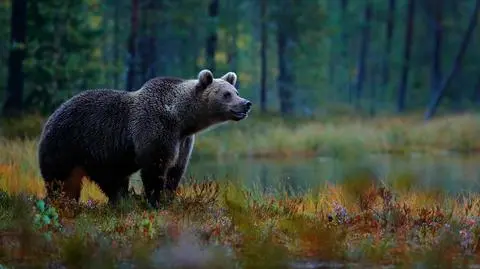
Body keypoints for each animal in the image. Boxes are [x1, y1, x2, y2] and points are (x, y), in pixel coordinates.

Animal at [37, 69, 251, 207]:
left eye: (236, 91)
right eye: (226, 94)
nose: (246, 103)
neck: (181, 118)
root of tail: (52, 115)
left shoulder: (183, 141)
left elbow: (176, 169)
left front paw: (169, 197)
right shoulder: (155, 129)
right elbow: (155, 167)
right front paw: (155, 200)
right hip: (71, 143)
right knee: (61, 179)